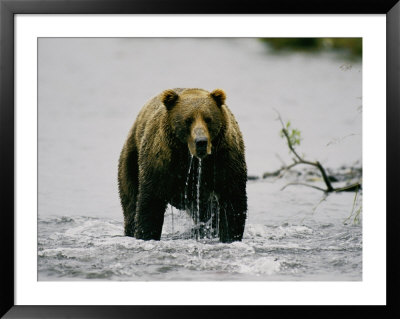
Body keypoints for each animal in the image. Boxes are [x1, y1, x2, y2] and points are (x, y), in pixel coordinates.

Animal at [117, 87, 245, 242]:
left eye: (208, 119)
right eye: (188, 120)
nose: (201, 142)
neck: (191, 158)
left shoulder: (225, 160)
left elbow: (232, 202)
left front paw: (230, 236)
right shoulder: (161, 163)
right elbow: (150, 202)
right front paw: (146, 234)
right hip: (132, 157)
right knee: (130, 199)